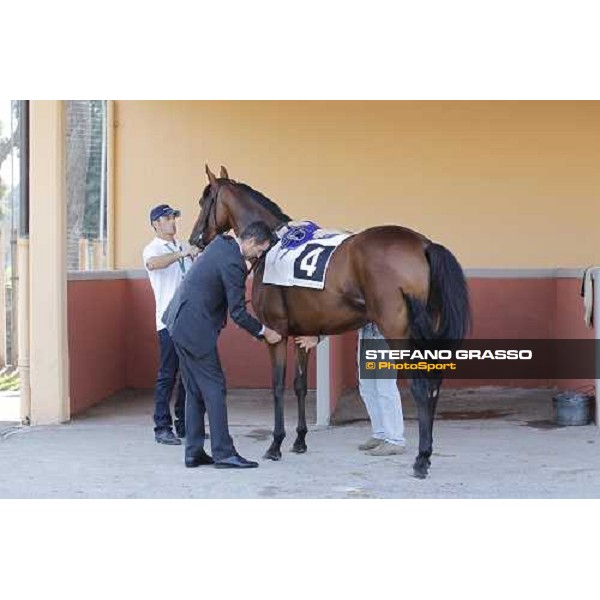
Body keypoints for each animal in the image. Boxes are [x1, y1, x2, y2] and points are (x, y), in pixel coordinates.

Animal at [190, 164, 472, 478]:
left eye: (203, 202)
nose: (195, 240)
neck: (273, 247)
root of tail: (424, 244)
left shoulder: (277, 333)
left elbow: (278, 387)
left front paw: (276, 444)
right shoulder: (303, 334)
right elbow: (300, 385)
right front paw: (299, 440)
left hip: (399, 334)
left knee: (422, 387)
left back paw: (421, 459)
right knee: (434, 384)